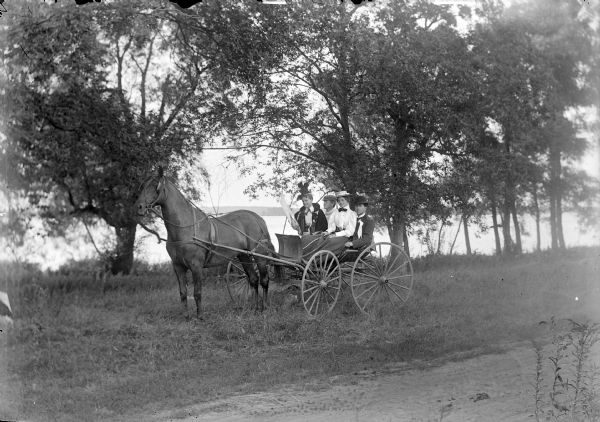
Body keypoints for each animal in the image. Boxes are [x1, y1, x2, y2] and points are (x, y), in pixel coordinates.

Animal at [133, 168, 274, 320]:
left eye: (155, 185)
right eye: (142, 186)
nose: (139, 207)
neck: (185, 227)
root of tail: (258, 219)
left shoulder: (196, 266)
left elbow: (197, 292)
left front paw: (200, 316)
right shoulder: (178, 266)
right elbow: (183, 292)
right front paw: (186, 316)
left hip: (259, 256)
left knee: (264, 280)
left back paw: (265, 308)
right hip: (244, 255)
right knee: (253, 279)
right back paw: (255, 308)